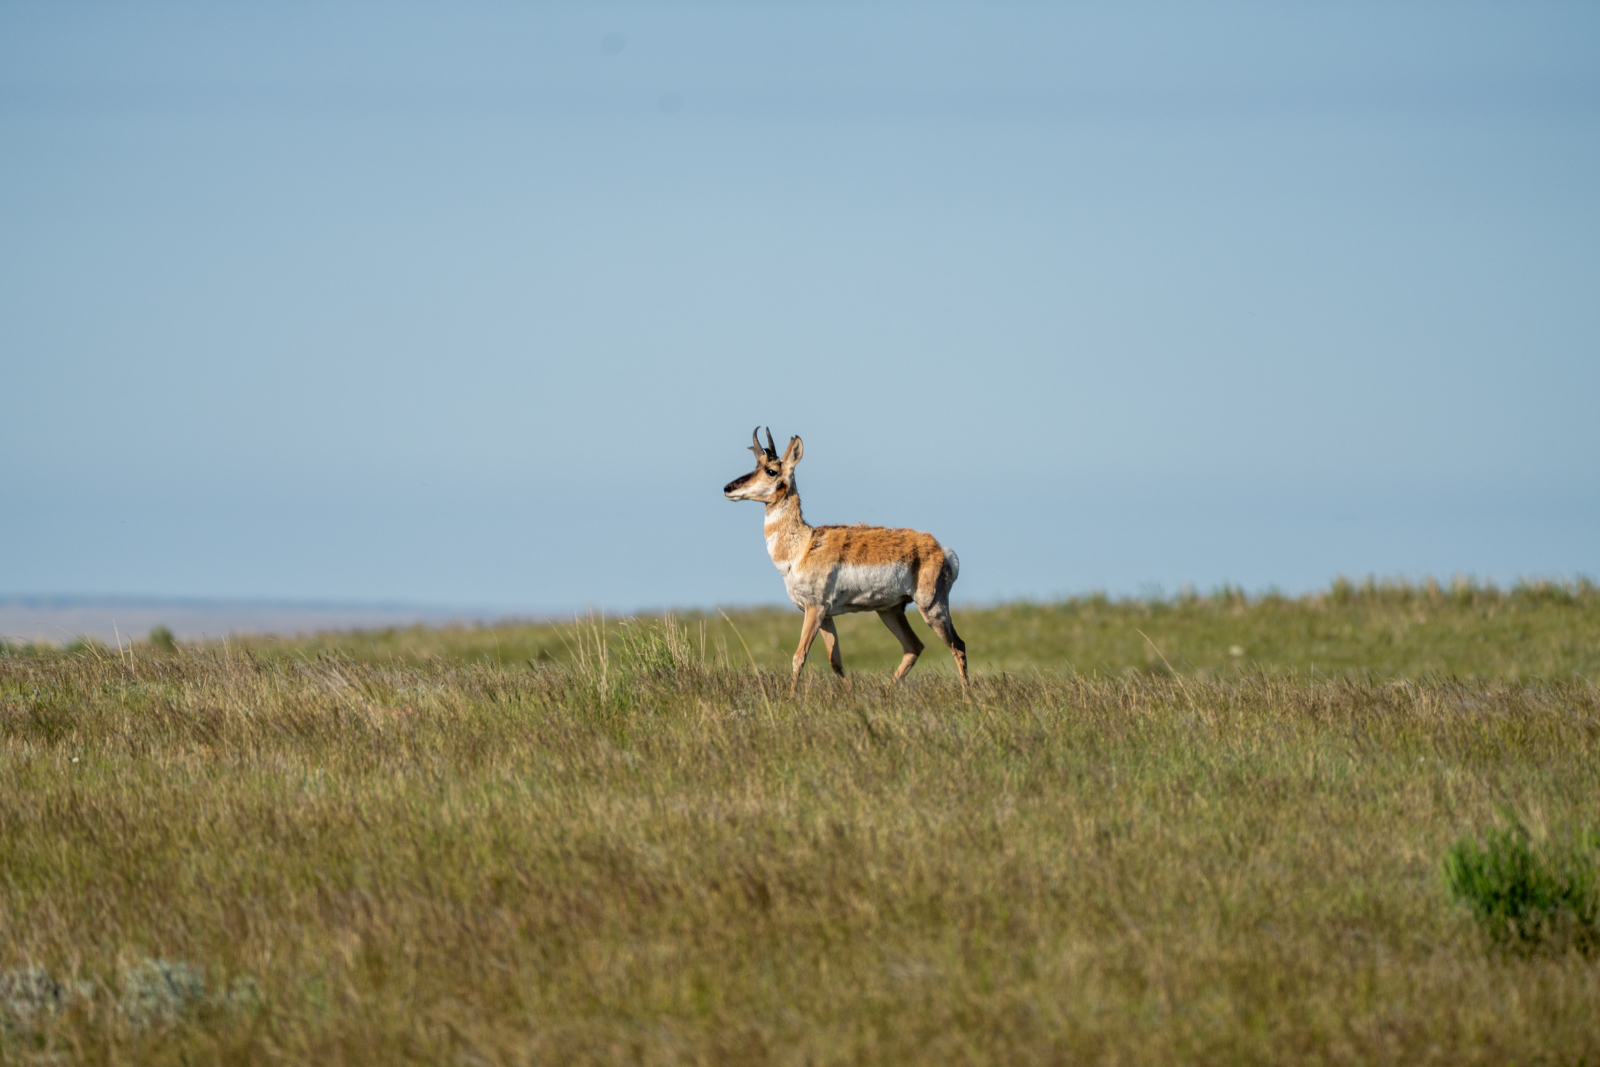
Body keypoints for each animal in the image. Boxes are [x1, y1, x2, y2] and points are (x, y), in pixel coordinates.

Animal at [723, 428, 968, 694]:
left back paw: (966, 695)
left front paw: (791, 696)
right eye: (755, 465)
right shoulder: (826, 616)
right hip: (890, 610)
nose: (728, 488)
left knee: (958, 645)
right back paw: (886, 692)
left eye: (771, 470)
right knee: (914, 647)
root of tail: (942, 548)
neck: (803, 546)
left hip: (932, 608)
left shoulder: (815, 609)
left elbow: (799, 656)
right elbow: (835, 661)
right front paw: (849, 694)